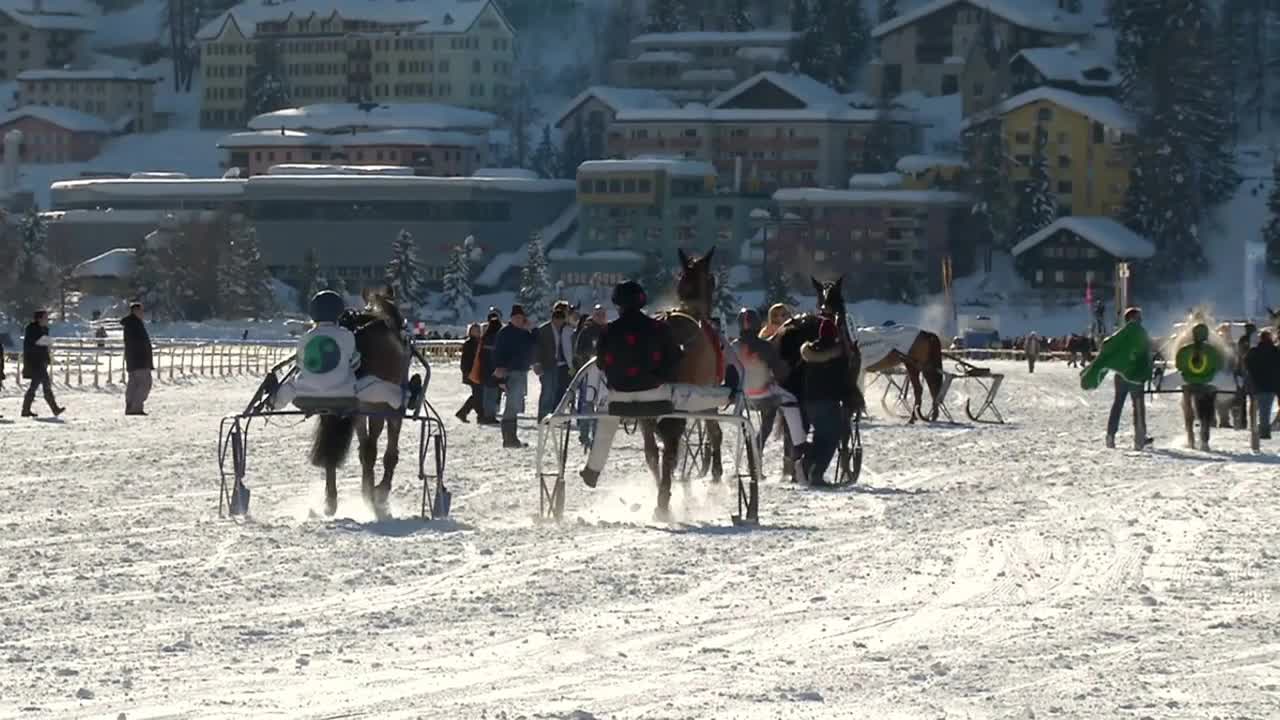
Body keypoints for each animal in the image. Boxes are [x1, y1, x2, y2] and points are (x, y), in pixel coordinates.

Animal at [309, 285, 409, 515]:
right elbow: (388, 453)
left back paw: (331, 499)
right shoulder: (393, 409)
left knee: (334, 448)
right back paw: (372, 497)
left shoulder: (357, 414)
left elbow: (364, 449)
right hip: (376, 406)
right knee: (372, 449)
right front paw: (379, 491)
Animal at [640, 245, 732, 515]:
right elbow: (715, 433)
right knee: (670, 446)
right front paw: (716, 473)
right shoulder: (707, 398)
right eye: (711, 279)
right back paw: (664, 498)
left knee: (652, 451)